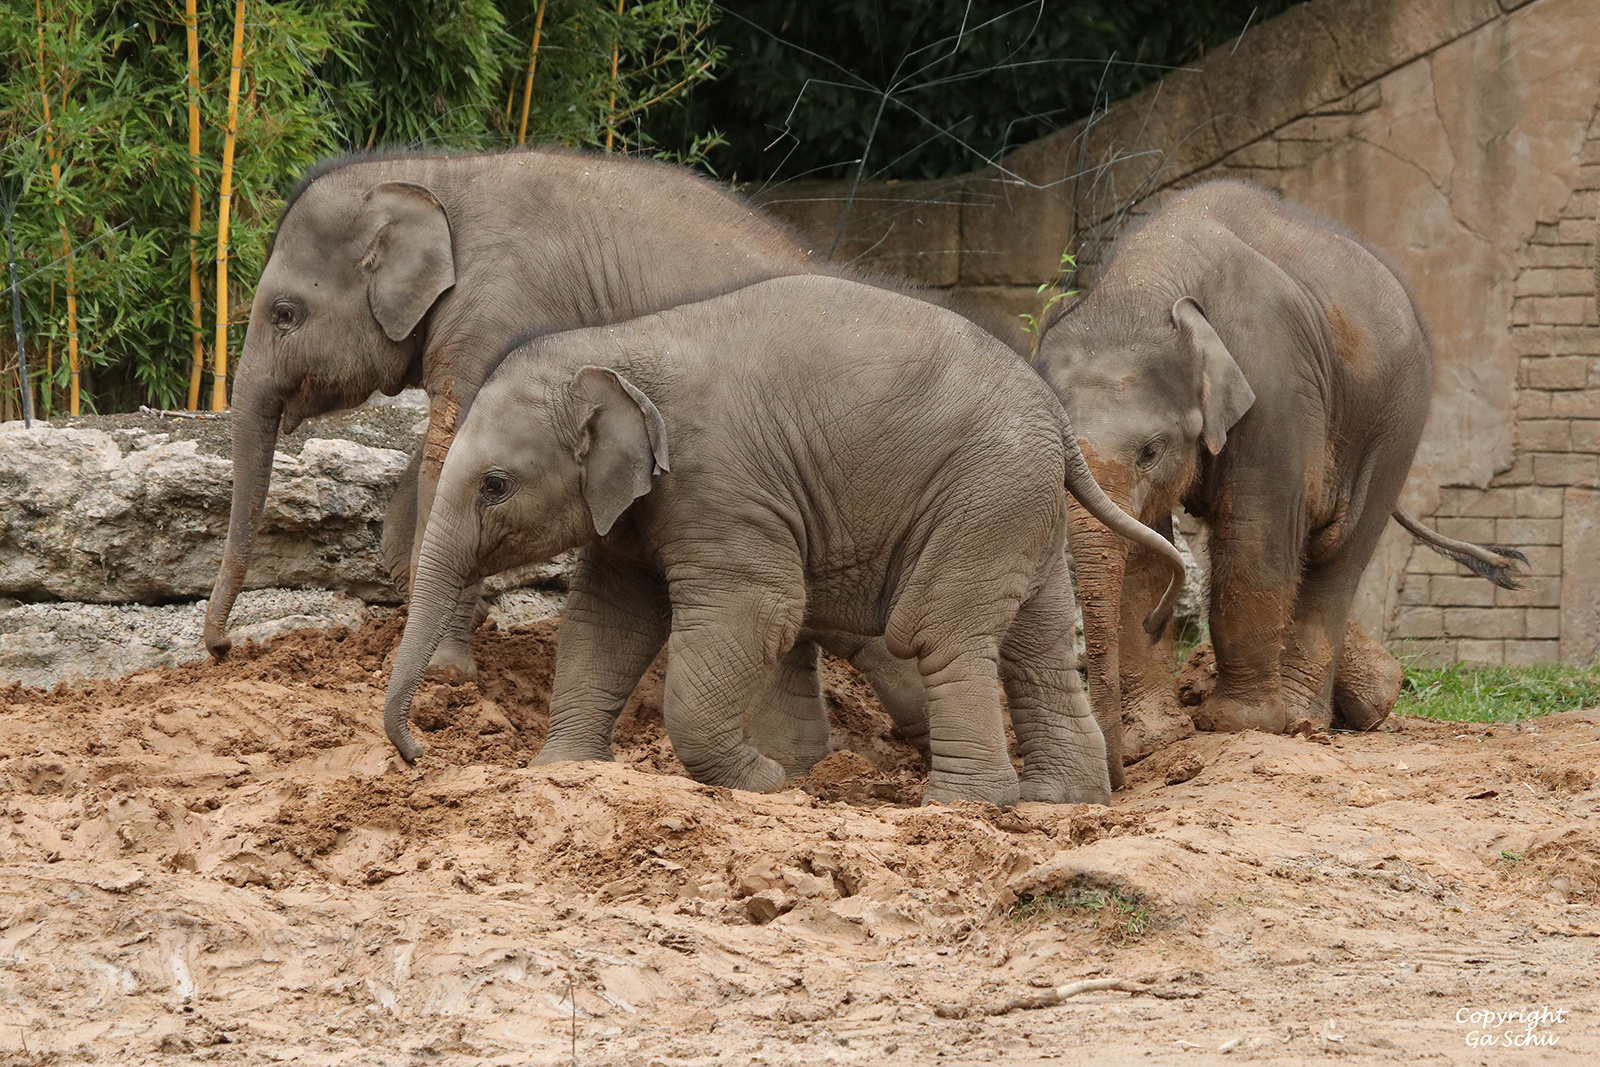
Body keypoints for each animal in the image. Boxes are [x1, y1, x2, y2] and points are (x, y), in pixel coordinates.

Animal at [380, 271, 1184, 806]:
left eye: (495, 484)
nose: (420, 753)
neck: (619, 344)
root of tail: (1058, 419)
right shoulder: (640, 511)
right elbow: (606, 620)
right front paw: (568, 772)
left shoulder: (719, 484)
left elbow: (758, 609)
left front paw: (759, 783)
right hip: (1020, 505)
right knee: (1034, 643)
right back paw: (1064, 800)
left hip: (984, 494)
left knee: (939, 632)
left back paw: (963, 806)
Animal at [1036, 181, 1523, 783]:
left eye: (1150, 450)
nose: (1118, 777)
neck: (1143, 285)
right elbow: (1143, 550)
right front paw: (1154, 739)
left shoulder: (1275, 381)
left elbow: (1254, 535)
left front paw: (1234, 724)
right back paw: (1373, 700)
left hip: (1400, 418)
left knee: (1339, 548)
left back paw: (1302, 719)